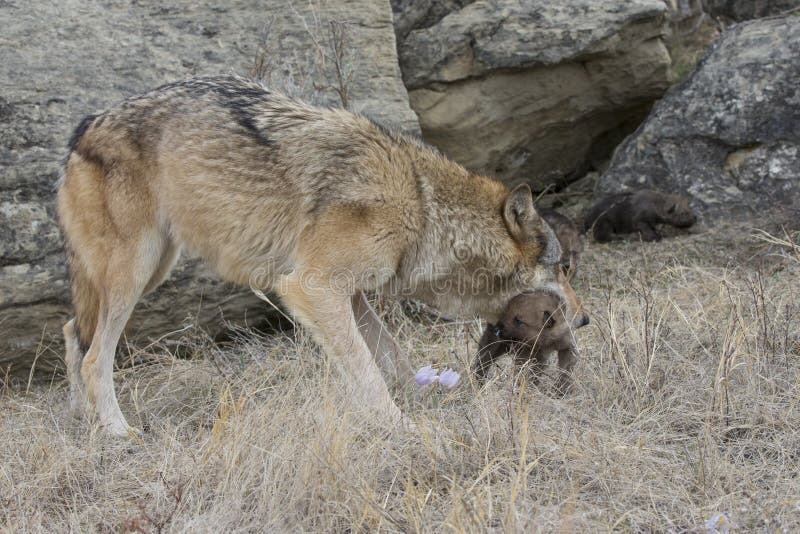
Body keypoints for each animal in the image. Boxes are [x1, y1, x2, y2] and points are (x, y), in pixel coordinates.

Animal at [58, 75, 568, 436]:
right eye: (565, 268)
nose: (581, 320)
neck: (421, 205)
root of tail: (86, 125)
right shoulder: (312, 288)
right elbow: (367, 372)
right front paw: (400, 426)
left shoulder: (353, 296)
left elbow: (393, 357)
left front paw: (430, 401)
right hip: (135, 274)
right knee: (93, 358)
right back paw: (118, 431)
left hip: (150, 271)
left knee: (71, 333)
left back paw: (84, 424)